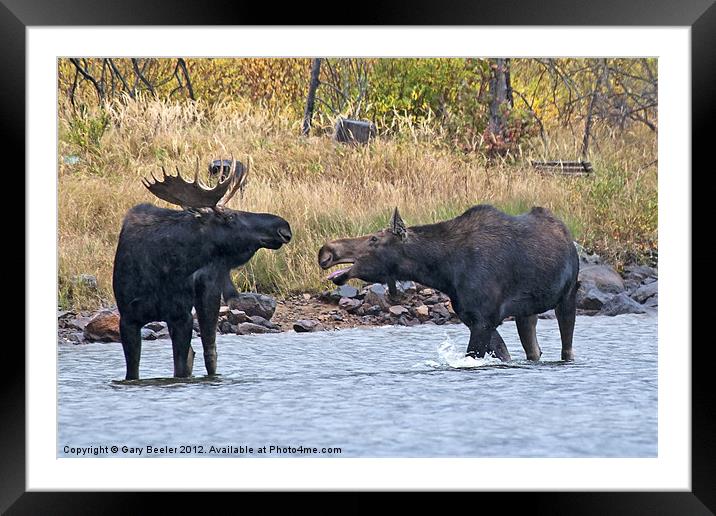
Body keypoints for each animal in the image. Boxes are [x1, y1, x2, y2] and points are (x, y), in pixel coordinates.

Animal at [112, 159, 290, 380]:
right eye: (231, 217)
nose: (283, 226)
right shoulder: (128, 319)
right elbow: (133, 372)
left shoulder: (181, 316)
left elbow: (181, 369)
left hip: (208, 296)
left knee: (209, 351)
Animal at [320, 206, 580, 362]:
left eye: (374, 239)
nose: (326, 251)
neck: (443, 272)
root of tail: (568, 235)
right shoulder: (473, 317)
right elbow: (503, 353)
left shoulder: (484, 319)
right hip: (526, 311)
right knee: (533, 349)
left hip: (568, 296)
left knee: (567, 347)